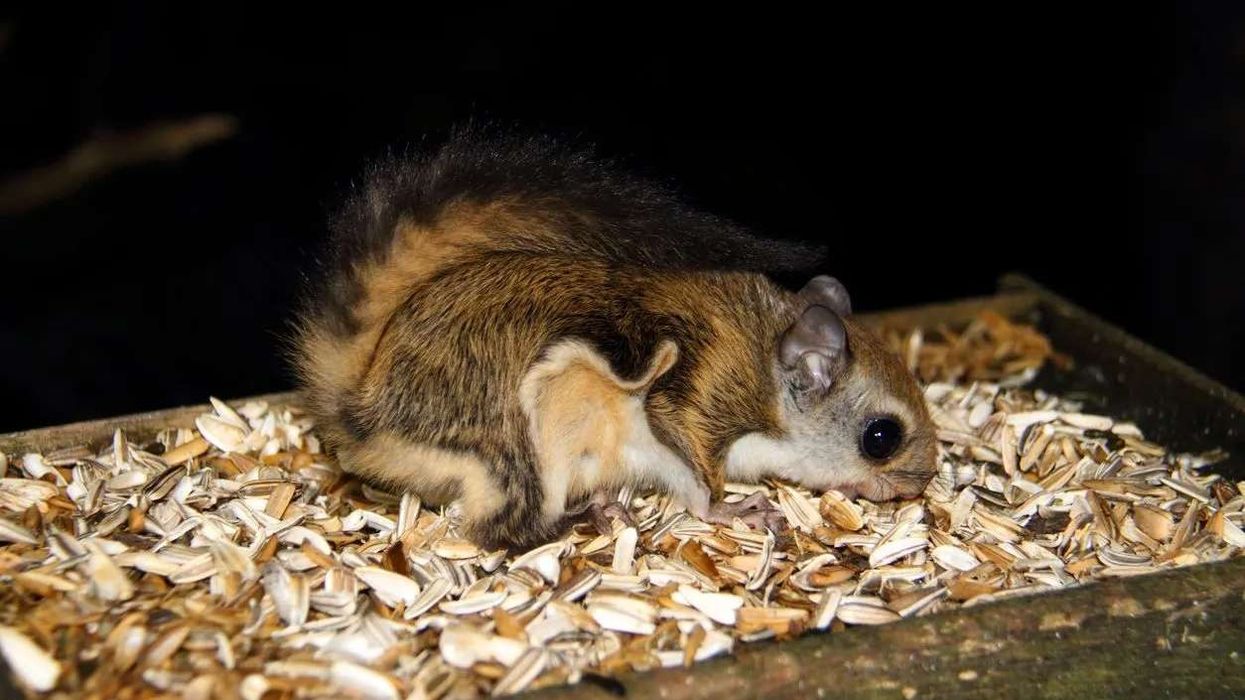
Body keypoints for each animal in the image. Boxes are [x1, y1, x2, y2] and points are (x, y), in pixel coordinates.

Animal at [291, 129, 936, 545]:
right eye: (881, 437)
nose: (919, 486)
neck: (766, 360)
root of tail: (364, 412)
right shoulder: (698, 396)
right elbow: (696, 475)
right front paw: (734, 512)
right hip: (518, 444)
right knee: (496, 530)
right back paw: (579, 520)